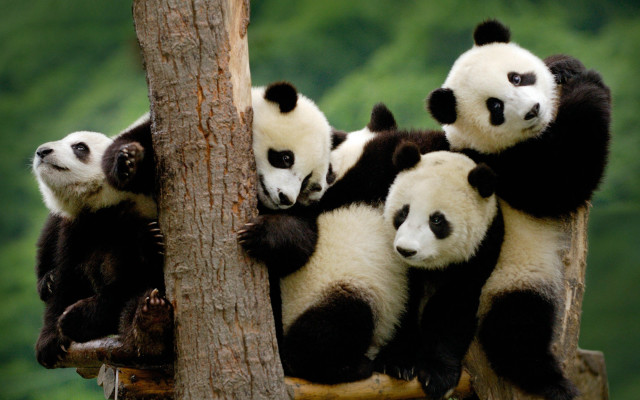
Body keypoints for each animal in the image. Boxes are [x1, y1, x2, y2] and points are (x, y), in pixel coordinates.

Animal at [33, 122, 172, 368]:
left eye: (80, 147)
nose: (42, 151)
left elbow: (126, 282)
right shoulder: (77, 230)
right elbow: (66, 280)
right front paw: (49, 341)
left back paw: (150, 323)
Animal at [426, 20, 611, 400]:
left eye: (516, 77)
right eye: (495, 108)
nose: (532, 110)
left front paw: (565, 66)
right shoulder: (499, 167)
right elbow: (562, 181)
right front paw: (589, 85)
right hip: (508, 277)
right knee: (515, 330)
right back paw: (550, 381)